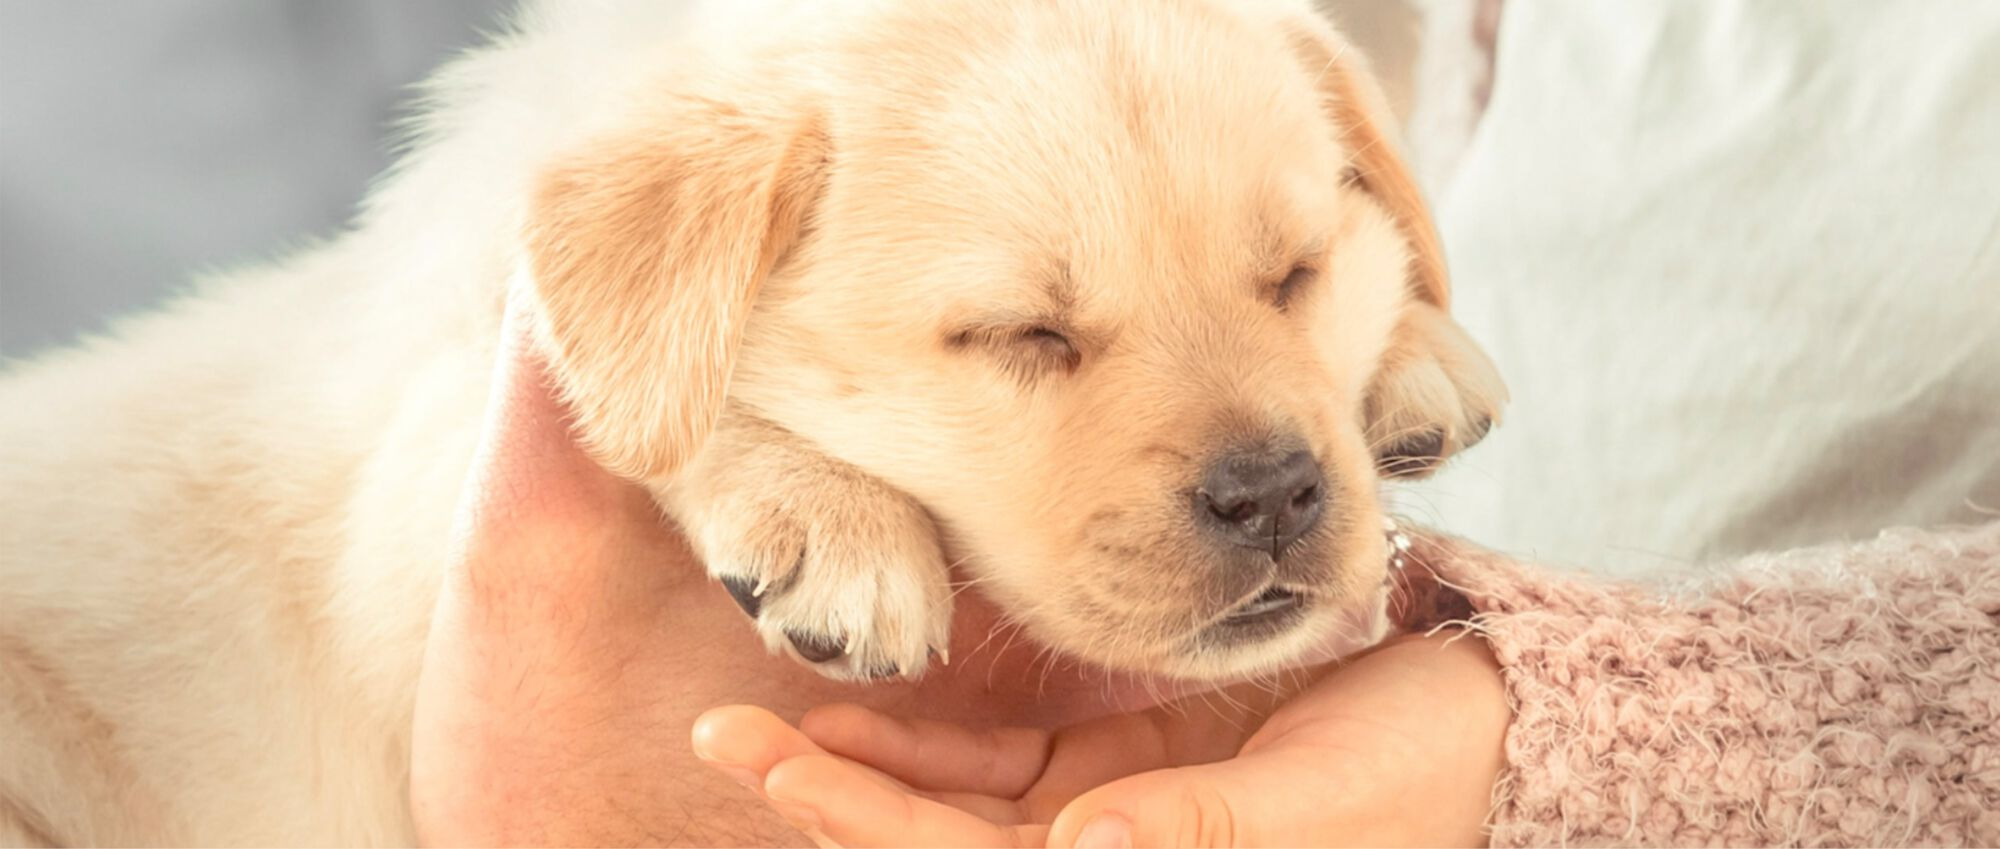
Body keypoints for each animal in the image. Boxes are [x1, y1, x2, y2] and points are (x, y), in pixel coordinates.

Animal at [0, 0, 1504, 840]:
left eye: (1293, 275)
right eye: (1022, 336)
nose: (1276, 493)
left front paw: (1420, 359)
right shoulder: (421, 493)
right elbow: (637, 396)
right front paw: (823, 518)